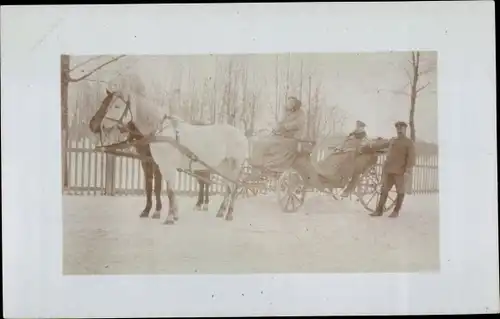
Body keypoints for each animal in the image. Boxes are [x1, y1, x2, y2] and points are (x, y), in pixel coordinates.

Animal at [94, 88, 249, 225]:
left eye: (117, 106)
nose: (102, 126)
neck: (161, 132)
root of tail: (242, 136)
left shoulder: (167, 166)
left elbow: (169, 191)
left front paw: (168, 218)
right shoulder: (161, 166)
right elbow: (169, 191)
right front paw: (174, 215)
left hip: (234, 166)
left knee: (234, 187)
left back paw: (229, 214)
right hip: (223, 167)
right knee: (228, 187)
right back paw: (221, 211)